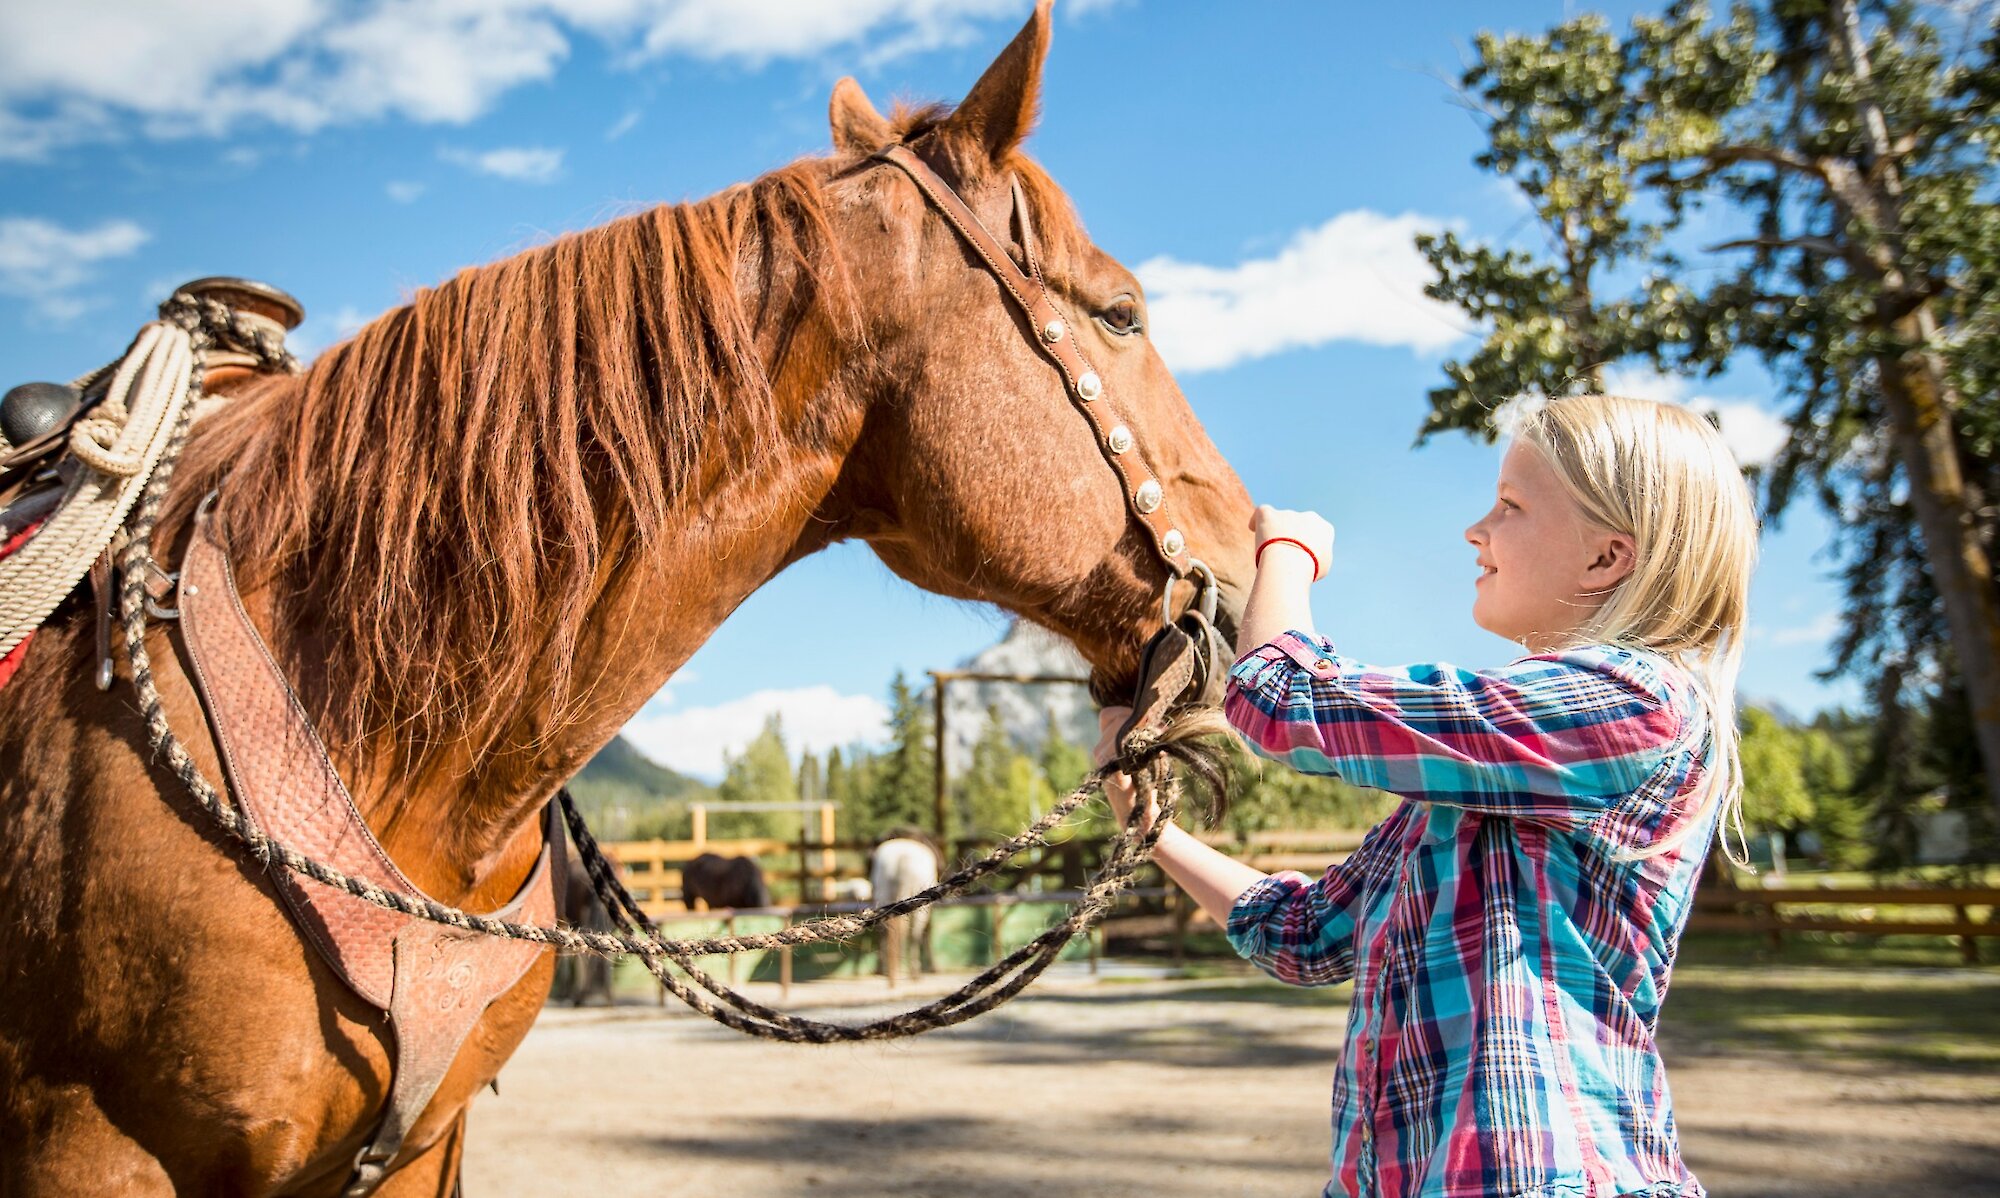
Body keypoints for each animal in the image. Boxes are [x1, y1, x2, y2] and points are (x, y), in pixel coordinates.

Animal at [872, 836, 940, 984]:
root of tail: (901, 857)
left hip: (884, 895)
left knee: (886, 931)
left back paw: (888, 971)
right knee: (913, 935)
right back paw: (912, 973)